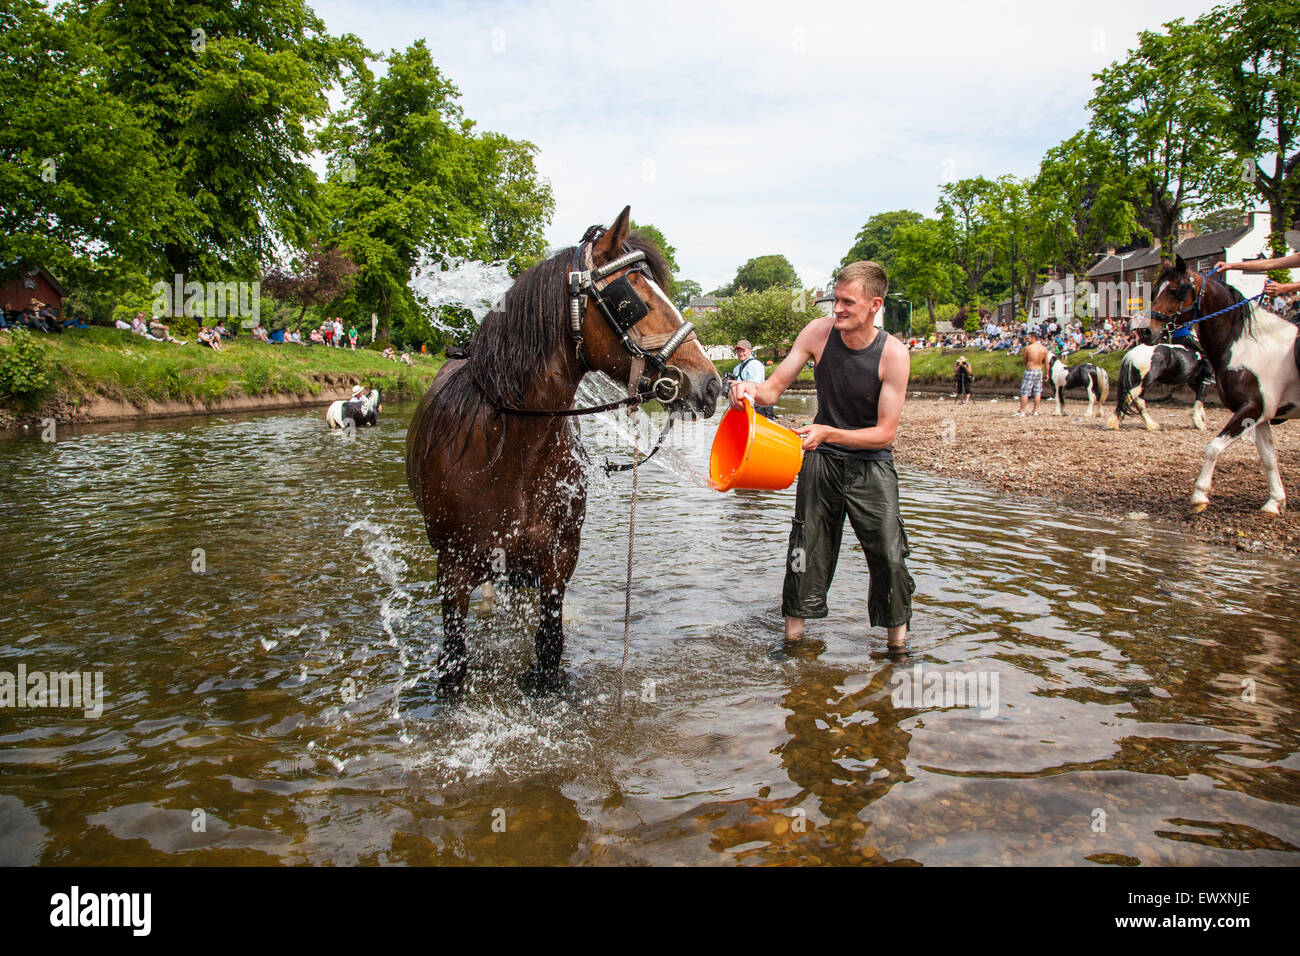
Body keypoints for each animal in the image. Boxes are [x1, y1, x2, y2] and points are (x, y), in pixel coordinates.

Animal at [405, 206, 722, 695]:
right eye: (631, 296)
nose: (711, 384)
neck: (509, 451)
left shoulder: (558, 560)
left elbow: (548, 648)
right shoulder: (452, 572)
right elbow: (454, 666)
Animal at [1146, 257, 1299, 514]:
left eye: (1175, 291)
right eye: (1155, 290)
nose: (1146, 330)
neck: (1246, 345)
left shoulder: (1251, 408)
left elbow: (1213, 447)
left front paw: (1199, 495)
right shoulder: (1261, 414)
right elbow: (1269, 458)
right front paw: (1274, 502)